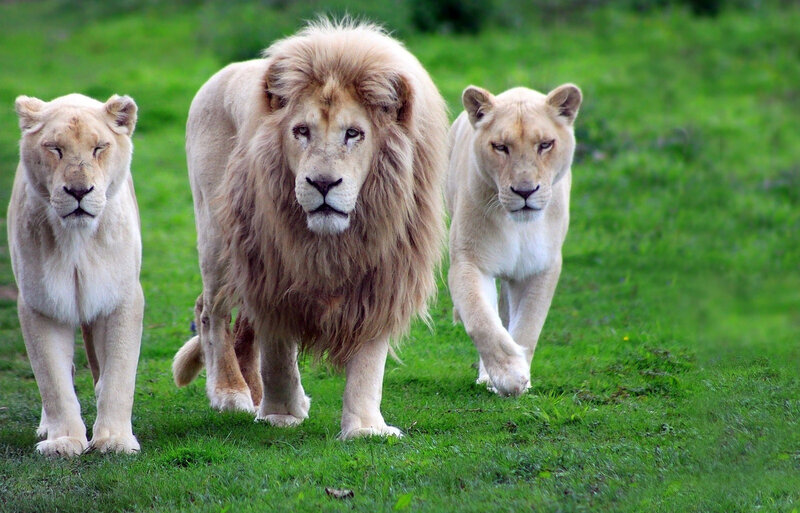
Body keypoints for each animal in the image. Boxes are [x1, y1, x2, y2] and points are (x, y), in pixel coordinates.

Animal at [8, 93, 143, 456]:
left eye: (99, 148)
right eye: (54, 148)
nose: (79, 191)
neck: (77, 240)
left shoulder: (121, 298)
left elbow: (119, 374)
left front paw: (114, 440)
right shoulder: (40, 304)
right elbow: (52, 379)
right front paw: (64, 441)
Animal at [171, 21, 447, 439]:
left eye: (354, 133)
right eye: (301, 131)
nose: (322, 183)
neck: (333, 242)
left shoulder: (383, 277)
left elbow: (368, 362)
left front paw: (365, 429)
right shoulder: (272, 272)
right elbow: (278, 353)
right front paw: (281, 415)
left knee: (243, 327)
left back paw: (256, 393)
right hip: (219, 238)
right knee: (211, 313)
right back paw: (231, 393)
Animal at [446, 84, 582, 396]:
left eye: (545, 144)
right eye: (500, 146)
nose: (525, 191)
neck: (519, 227)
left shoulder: (541, 267)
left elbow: (528, 325)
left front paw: (521, 377)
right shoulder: (469, 261)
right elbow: (481, 320)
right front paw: (509, 375)